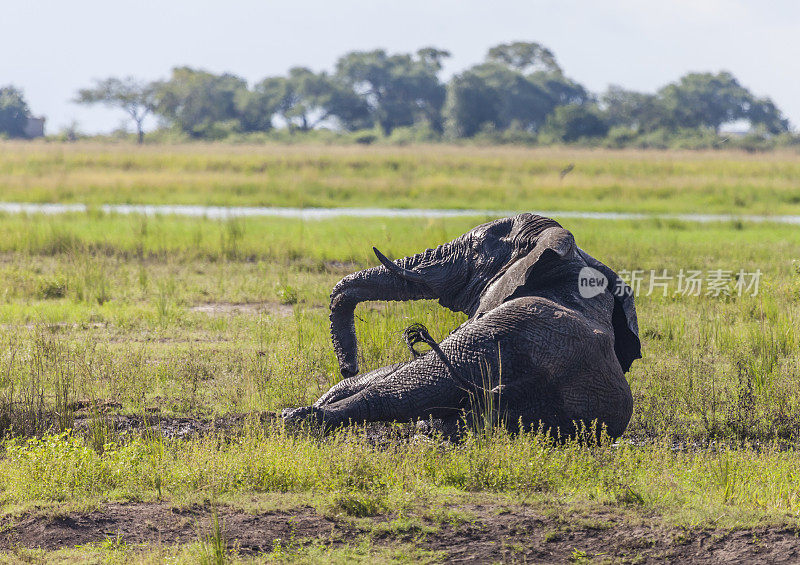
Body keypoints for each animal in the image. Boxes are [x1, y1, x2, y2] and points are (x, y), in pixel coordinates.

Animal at [284, 214, 640, 438]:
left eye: (476, 248)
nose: (348, 366)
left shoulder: (502, 316)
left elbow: (418, 366)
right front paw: (332, 391)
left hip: (504, 332)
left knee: (411, 385)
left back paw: (298, 420)